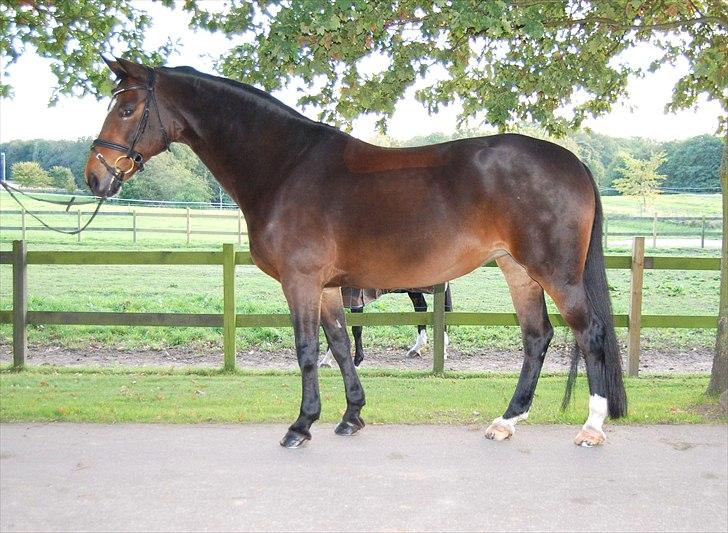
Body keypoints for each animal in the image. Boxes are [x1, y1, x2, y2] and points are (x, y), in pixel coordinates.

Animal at [318, 285, 453, 368]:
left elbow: (356, 329)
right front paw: (327, 360)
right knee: (421, 306)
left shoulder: (357, 299)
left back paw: (443, 349)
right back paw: (416, 349)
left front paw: (357, 361)